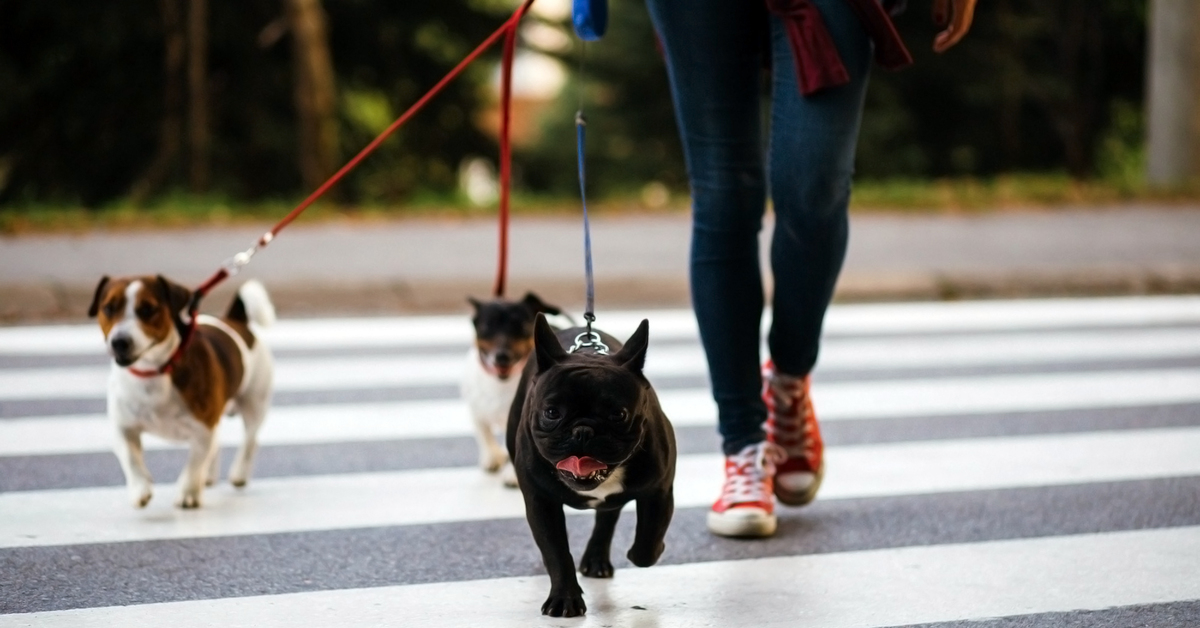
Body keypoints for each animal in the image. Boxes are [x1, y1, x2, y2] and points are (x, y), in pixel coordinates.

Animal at [463, 291, 566, 487]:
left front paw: (512, 475)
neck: (501, 384)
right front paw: (491, 457)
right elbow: (484, 435)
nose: (502, 356)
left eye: (522, 327)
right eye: (487, 326)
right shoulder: (476, 413)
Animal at [504, 317, 676, 614]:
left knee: (608, 516)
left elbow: (648, 541)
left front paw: (642, 551)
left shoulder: (660, 492)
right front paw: (565, 599)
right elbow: (556, 552)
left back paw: (597, 559)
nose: (583, 431)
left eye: (619, 414)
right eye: (551, 412)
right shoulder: (541, 502)